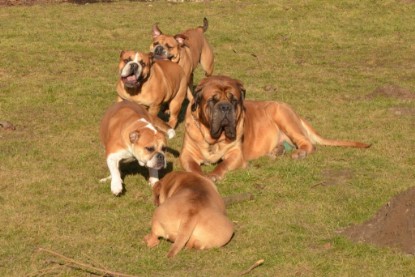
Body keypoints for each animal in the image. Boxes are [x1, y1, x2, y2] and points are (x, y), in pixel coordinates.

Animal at [180, 75, 372, 181]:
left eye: (233, 100)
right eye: (212, 100)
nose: (225, 107)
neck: (214, 139)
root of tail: (296, 112)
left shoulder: (235, 155)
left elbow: (223, 164)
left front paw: (213, 174)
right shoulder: (186, 154)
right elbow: (193, 167)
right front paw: (201, 176)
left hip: (282, 115)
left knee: (308, 144)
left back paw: (299, 153)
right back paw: (277, 151)